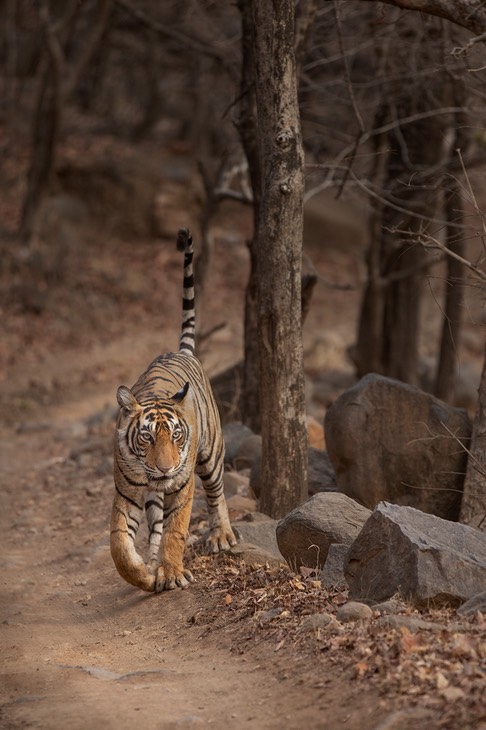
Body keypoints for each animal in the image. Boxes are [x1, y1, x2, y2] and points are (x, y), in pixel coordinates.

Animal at [112, 228, 237, 592]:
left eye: (177, 436)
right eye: (147, 438)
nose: (165, 469)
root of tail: (181, 351)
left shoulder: (182, 487)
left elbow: (175, 530)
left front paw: (170, 572)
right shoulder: (126, 492)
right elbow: (119, 545)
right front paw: (144, 574)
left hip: (212, 455)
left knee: (216, 495)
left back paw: (222, 536)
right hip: (156, 492)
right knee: (155, 524)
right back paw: (152, 561)